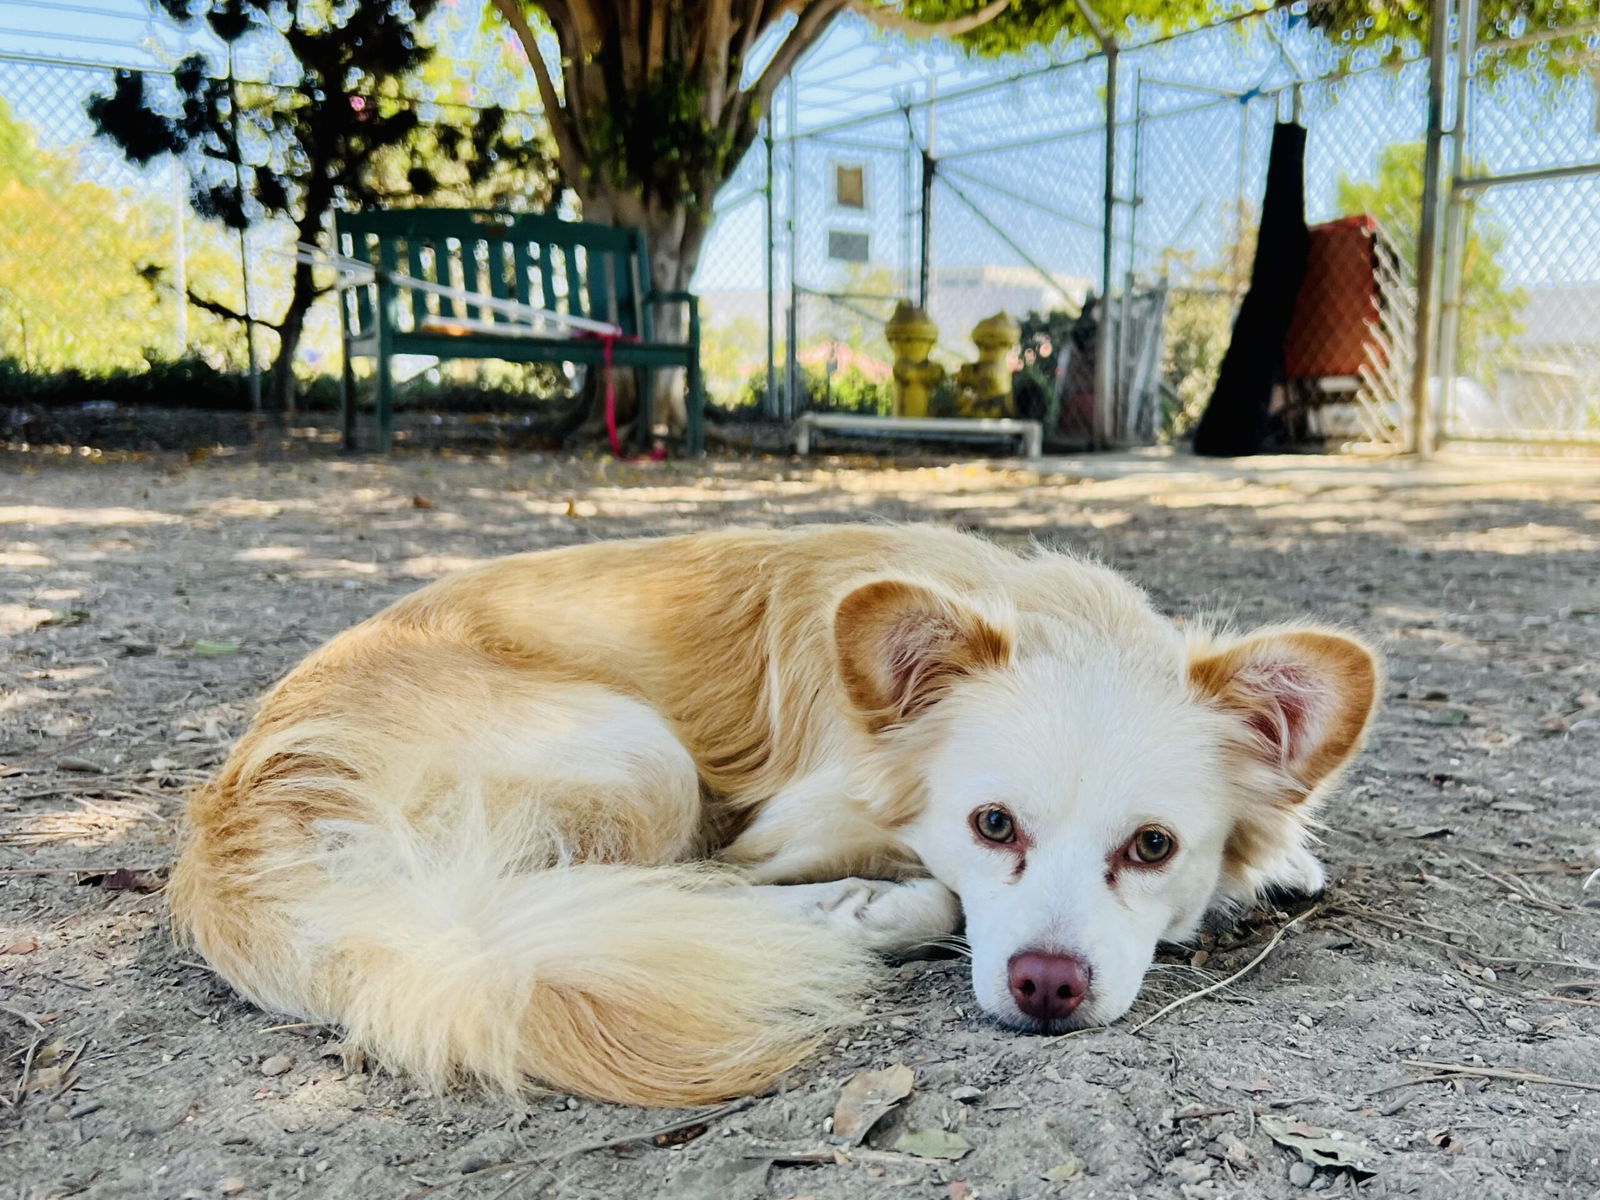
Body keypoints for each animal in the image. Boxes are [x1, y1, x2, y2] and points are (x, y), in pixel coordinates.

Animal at [172, 524, 1376, 1107]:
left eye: (1153, 847)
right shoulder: (786, 826)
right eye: (992, 825)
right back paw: (860, 917)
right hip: (639, 758)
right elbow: (801, 874)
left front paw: (1286, 861)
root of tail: (234, 810)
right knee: (606, 900)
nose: (1047, 987)